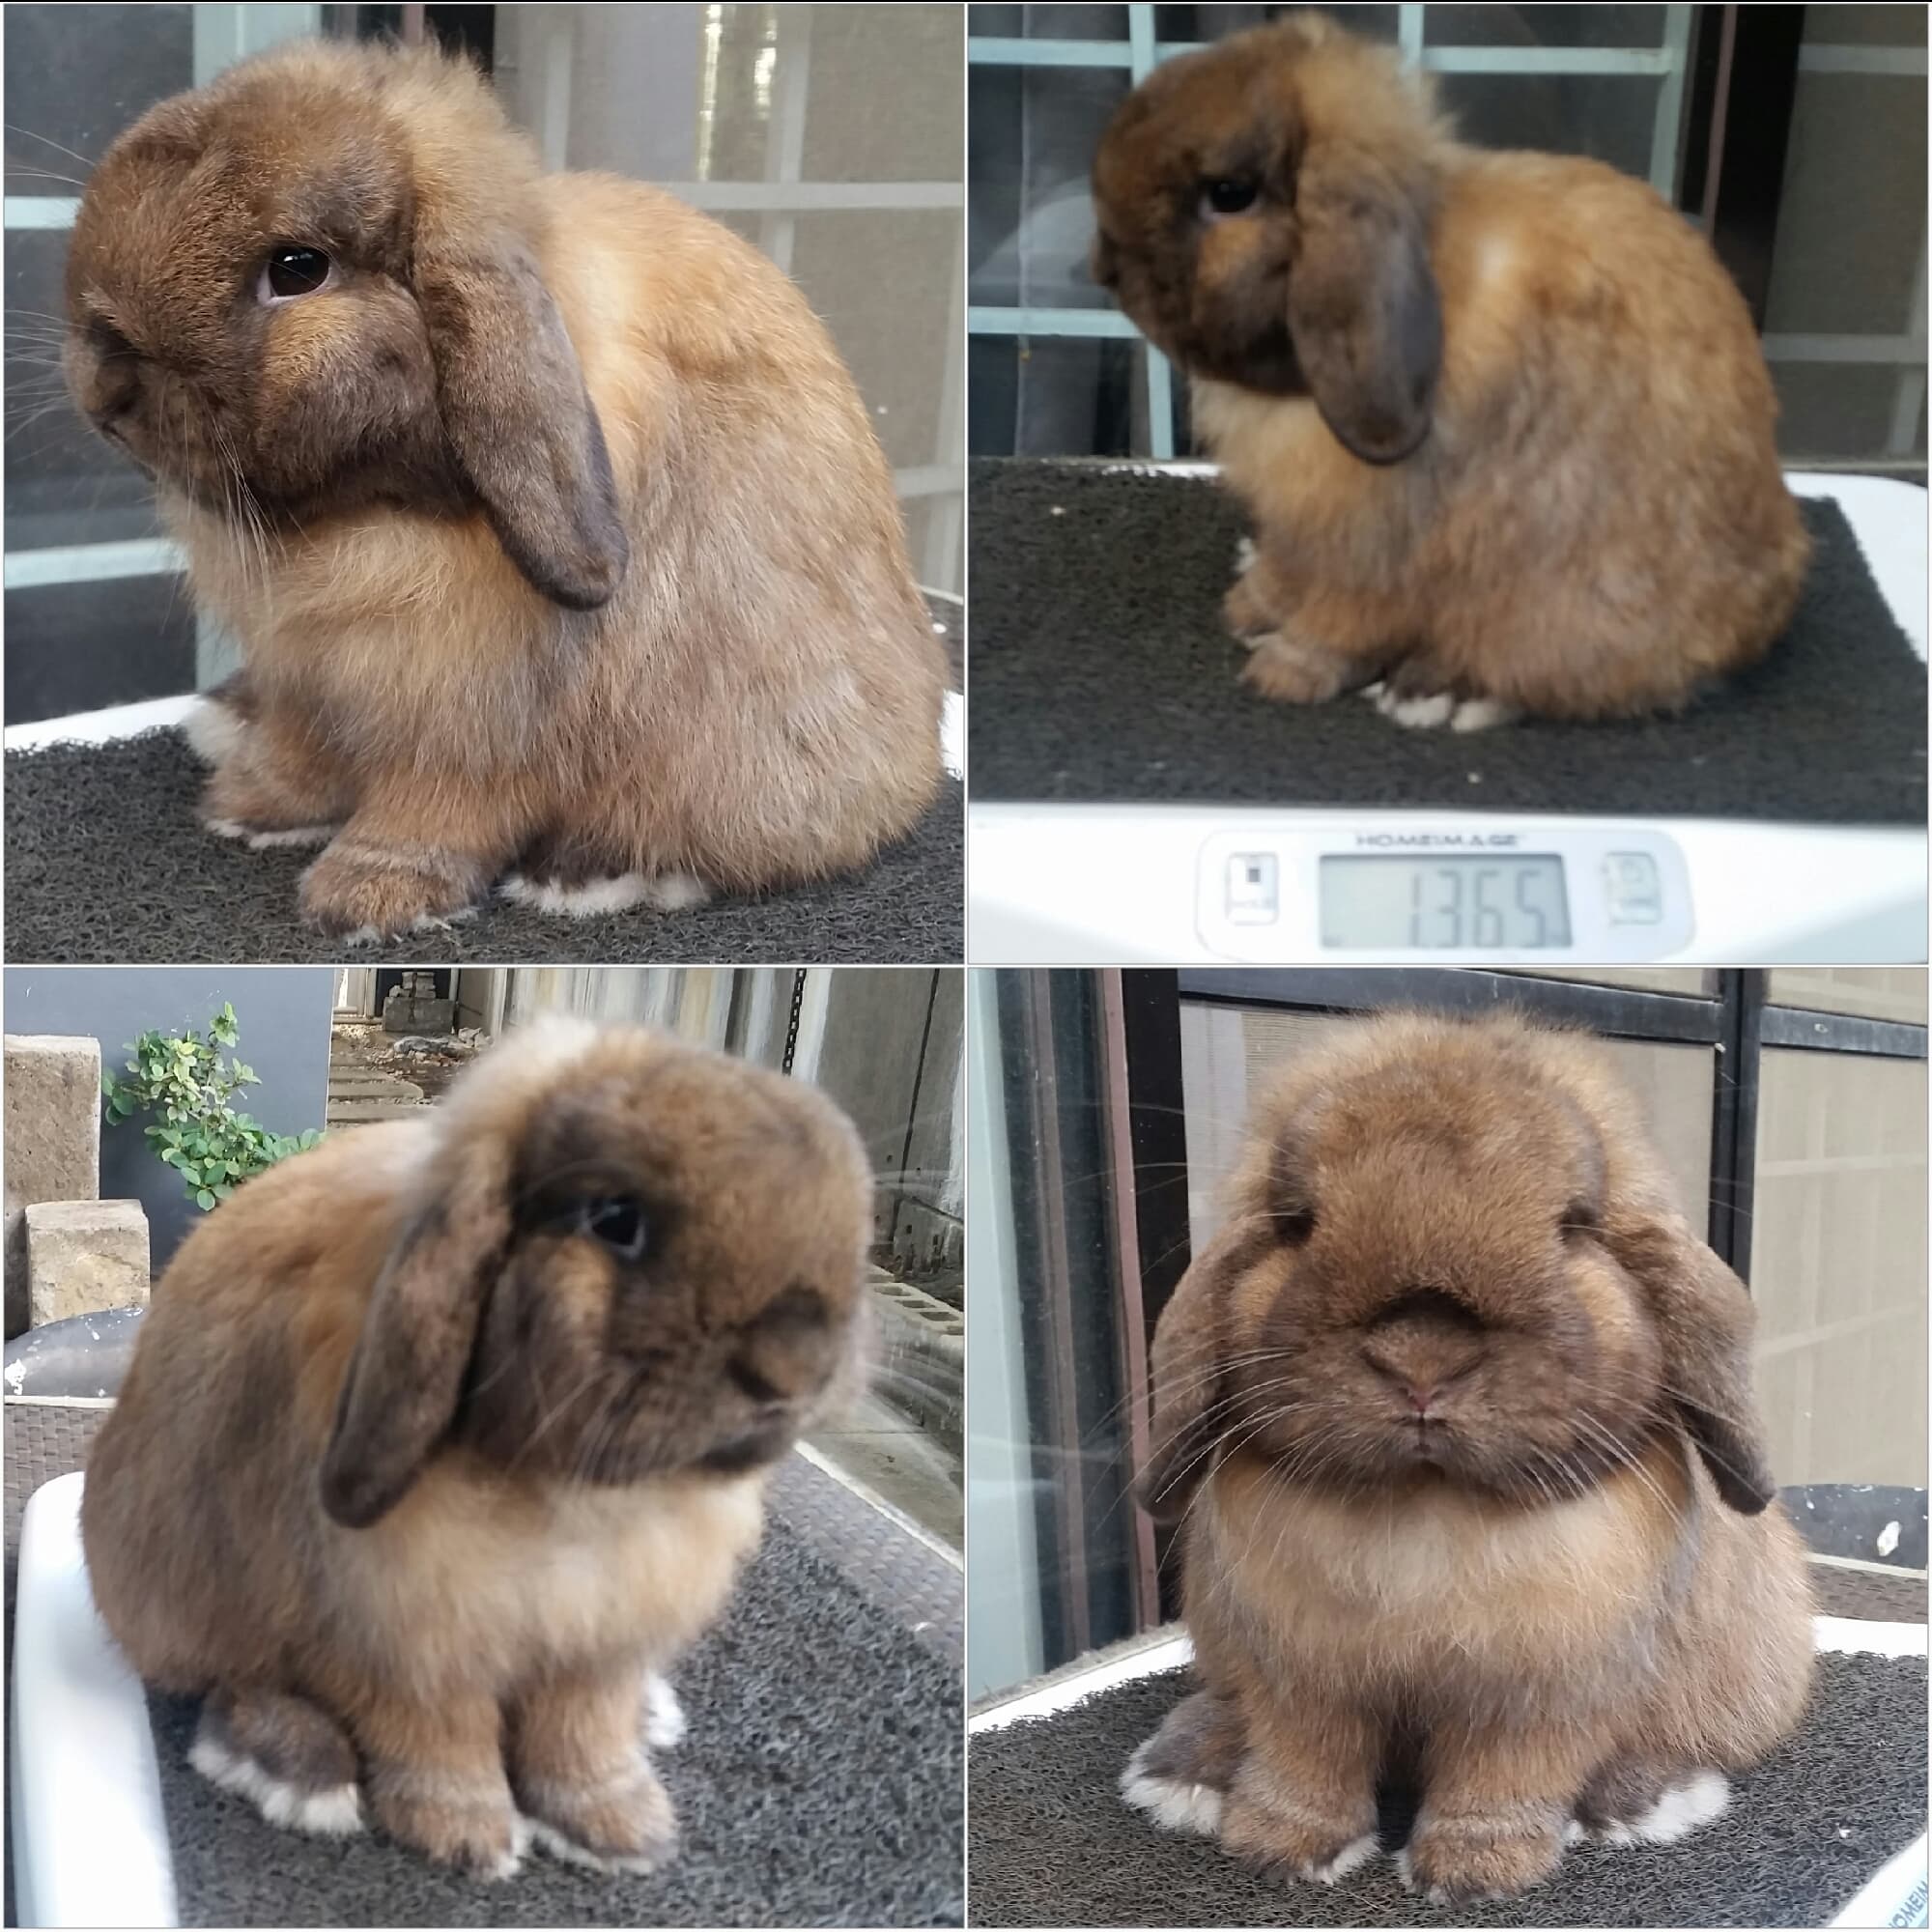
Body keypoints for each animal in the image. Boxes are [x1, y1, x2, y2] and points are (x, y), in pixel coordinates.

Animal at [63, 38, 946, 939]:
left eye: (298, 268)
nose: (106, 385)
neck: (359, 517)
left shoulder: (478, 720)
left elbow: (440, 808)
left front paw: (366, 898)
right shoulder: (308, 683)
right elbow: (301, 758)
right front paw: (246, 809)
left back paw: (584, 876)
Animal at [79, 1017, 876, 1878]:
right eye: (615, 1220)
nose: (794, 1366)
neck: (576, 1495)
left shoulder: (599, 1644)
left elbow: (582, 1738)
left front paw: (621, 1830)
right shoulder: (398, 1642)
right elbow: (438, 1739)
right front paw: (469, 1837)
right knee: (234, 1686)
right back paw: (301, 1773)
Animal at [1090, 12, 1810, 731]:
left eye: (1229, 195)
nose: (1106, 268)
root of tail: (1769, 611)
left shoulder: (1382, 547)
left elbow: (1344, 622)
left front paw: (1283, 673)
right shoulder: (1304, 529)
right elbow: (1290, 571)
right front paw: (1247, 608)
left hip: (1565, 612)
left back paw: (1432, 695)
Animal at [1120, 1009, 1813, 1903]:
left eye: (1575, 1223)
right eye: (1296, 1220)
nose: (1423, 1361)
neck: (1428, 1505)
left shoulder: (1538, 1697)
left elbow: (1502, 1779)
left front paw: (1474, 1872)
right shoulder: (1301, 1682)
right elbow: (1304, 1763)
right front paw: (1279, 1847)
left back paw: (1643, 1798)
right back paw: (1187, 1769)